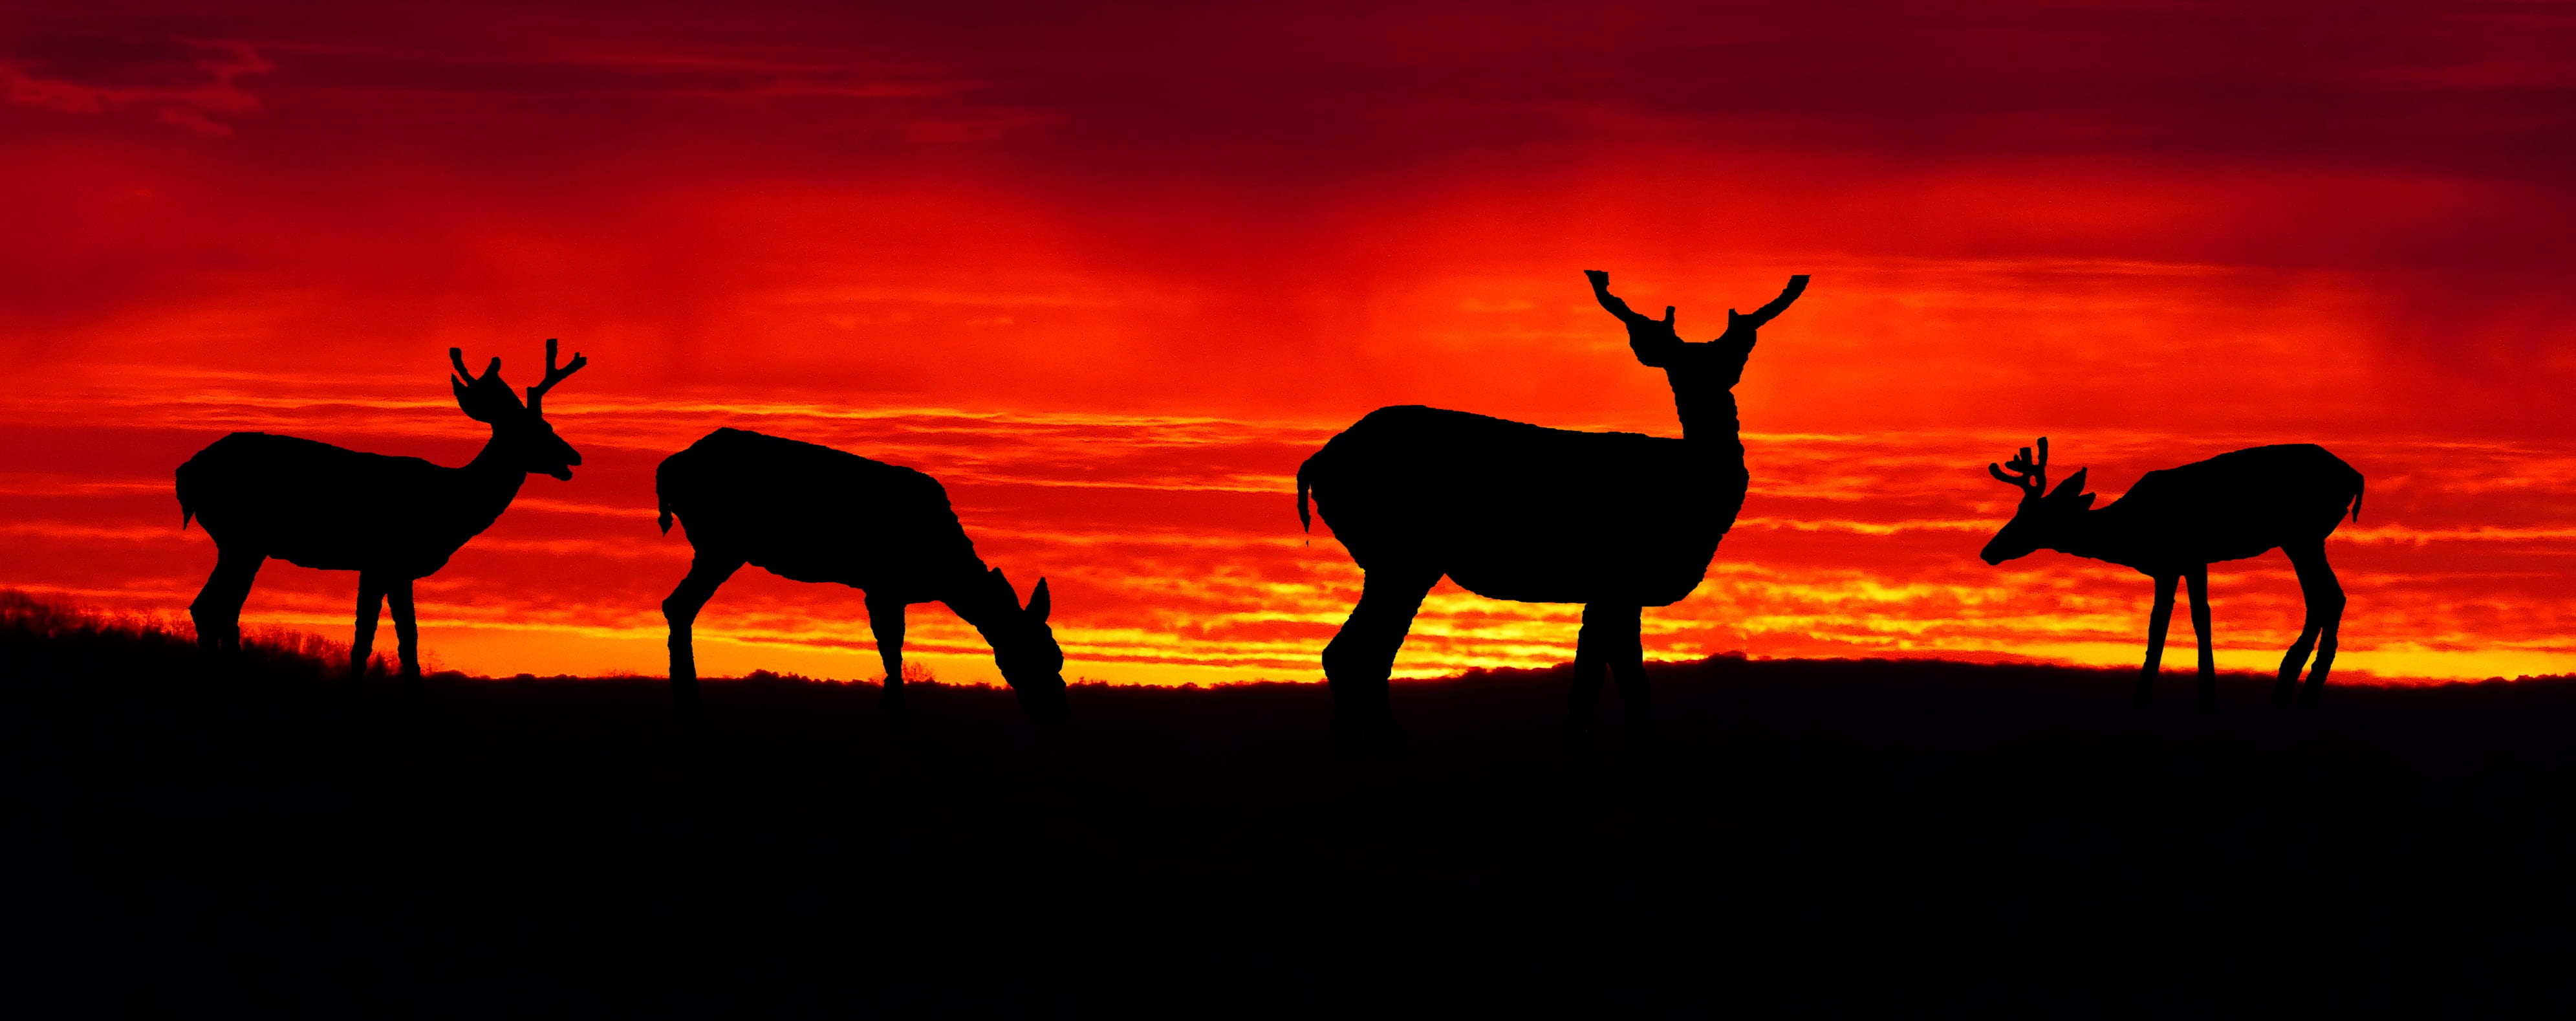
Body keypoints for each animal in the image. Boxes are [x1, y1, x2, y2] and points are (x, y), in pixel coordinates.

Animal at [176, 340, 589, 683]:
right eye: (538, 429)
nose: (573, 457)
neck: (452, 505)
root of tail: (187, 474)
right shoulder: (388, 560)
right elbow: (395, 639)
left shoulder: (379, 568)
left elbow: (379, 638)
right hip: (241, 538)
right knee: (212, 608)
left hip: (241, 543)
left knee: (217, 610)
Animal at [654, 428, 1068, 726]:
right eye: (1037, 655)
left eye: (1059, 656)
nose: (1056, 709)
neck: (944, 572)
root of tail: (669, 468)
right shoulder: (884, 585)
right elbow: (892, 647)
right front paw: (896, 710)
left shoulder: (886, 589)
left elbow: (890, 647)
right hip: (721, 544)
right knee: (678, 604)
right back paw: (690, 705)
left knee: (677, 605)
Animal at [1296, 269, 1809, 752]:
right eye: (1675, 372)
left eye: (1730, 363)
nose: (1708, 396)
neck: (1693, 497)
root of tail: (1315, 463)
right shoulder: (1617, 580)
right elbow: (1624, 685)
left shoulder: (1608, 592)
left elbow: (1596, 679)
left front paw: (1581, 745)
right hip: (1402, 554)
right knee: (1355, 654)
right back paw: (1387, 746)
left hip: (1393, 559)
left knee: (1355, 654)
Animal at [1979, 437, 2365, 711]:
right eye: (2018, 508)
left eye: (2034, 517)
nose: (1988, 552)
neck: (2128, 536)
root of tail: (2355, 477)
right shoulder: (2189, 562)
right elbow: (2198, 618)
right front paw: (2206, 694)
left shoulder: (2175, 560)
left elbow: (2165, 623)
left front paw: (2151, 696)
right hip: (2305, 538)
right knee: (2328, 597)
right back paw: (2300, 684)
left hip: (2302, 534)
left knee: (2327, 597)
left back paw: (2295, 681)